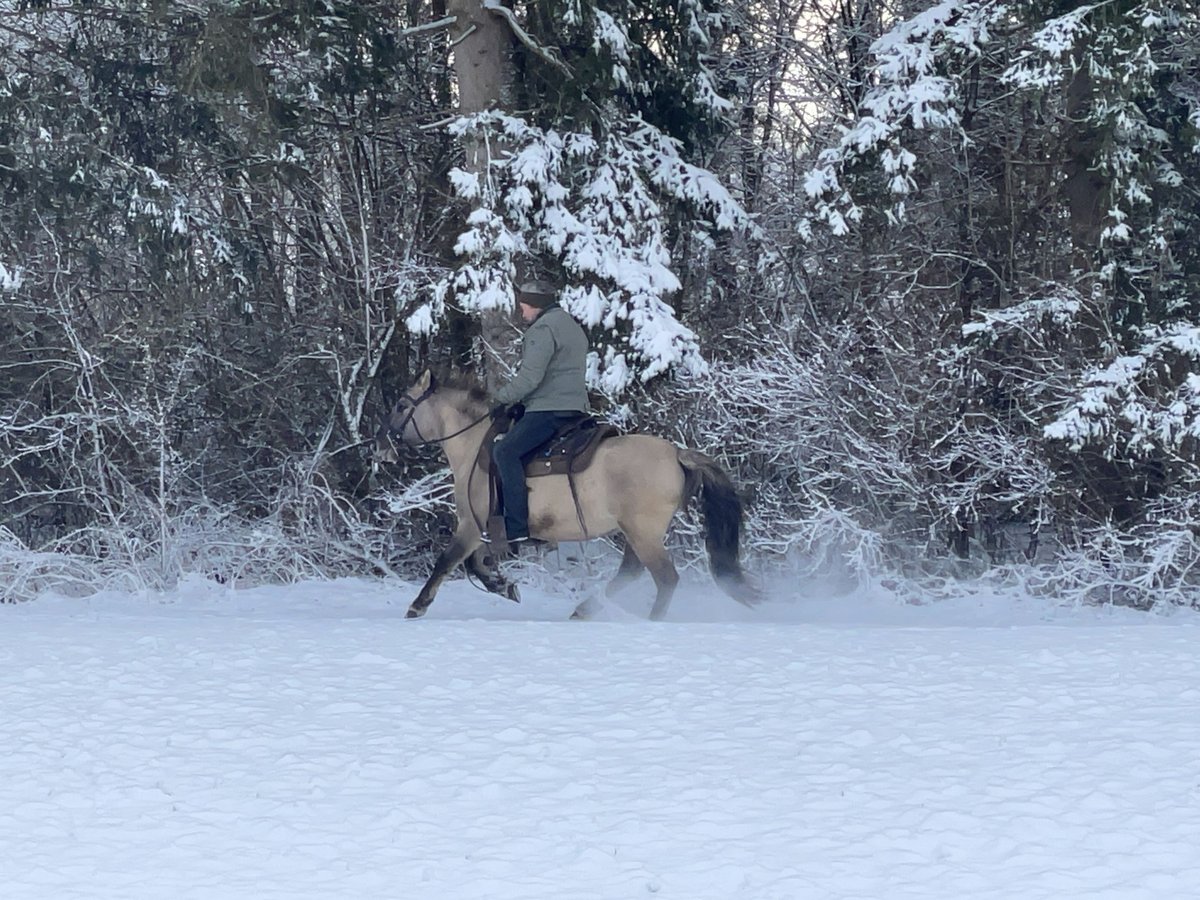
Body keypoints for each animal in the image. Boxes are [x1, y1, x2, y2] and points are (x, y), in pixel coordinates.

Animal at [372, 367, 758, 619]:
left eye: (402, 406)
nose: (379, 446)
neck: (474, 445)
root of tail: (677, 453)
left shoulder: (471, 524)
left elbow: (448, 561)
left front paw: (418, 606)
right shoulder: (481, 530)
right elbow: (475, 564)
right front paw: (503, 585)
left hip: (642, 532)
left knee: (665, 578)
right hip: (636, 532)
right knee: (631, 572)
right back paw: (585, 609)